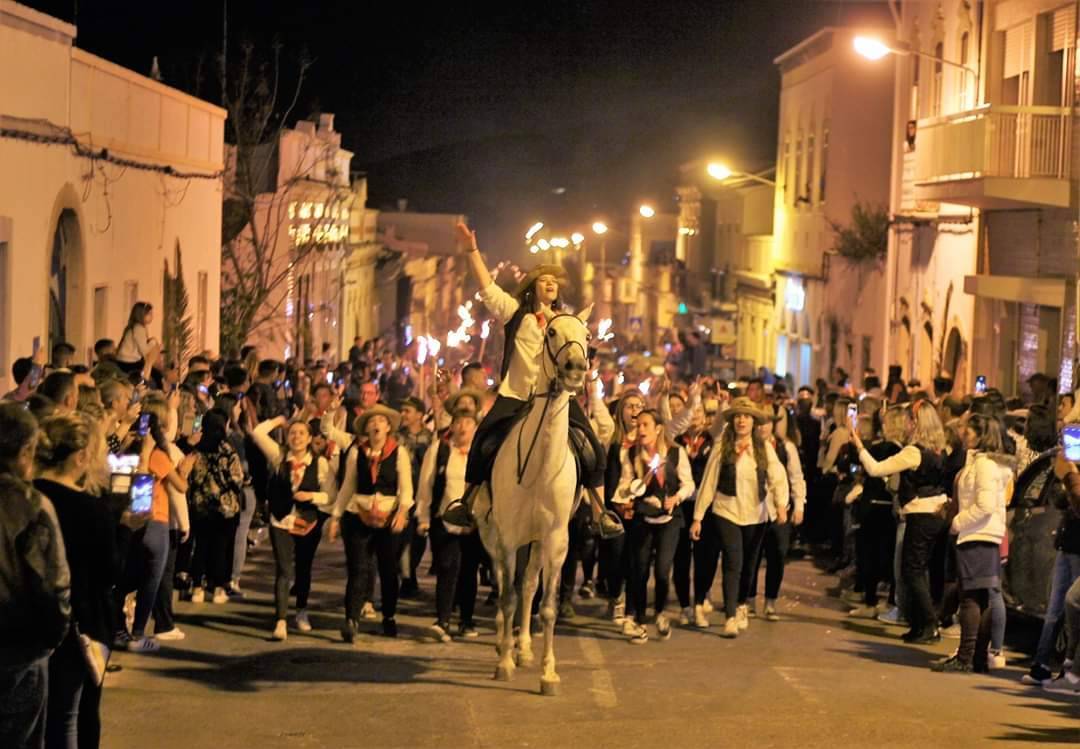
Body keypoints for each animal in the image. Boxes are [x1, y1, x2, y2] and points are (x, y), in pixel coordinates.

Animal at [473, 306, 591, 699]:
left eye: (588, 336)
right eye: (551, 332)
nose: (575, 368)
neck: (540, 467)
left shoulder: (556, 540)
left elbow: (547, 605)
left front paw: (547, 673)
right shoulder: (508, 536)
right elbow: (507, 596)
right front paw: (504, 664)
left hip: (538, 541)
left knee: (526, 585)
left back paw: (522, 647)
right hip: (491, 536)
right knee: (503, 585)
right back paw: (503, 645)